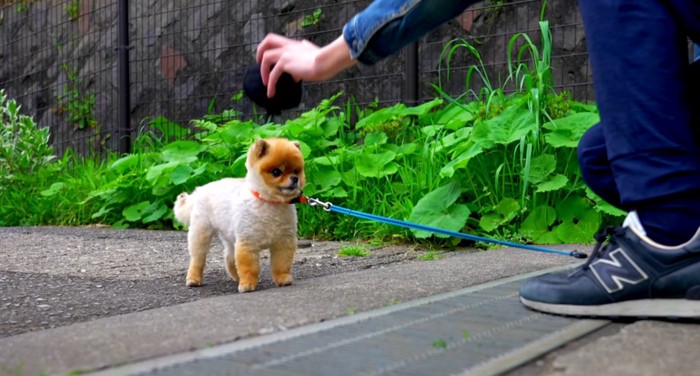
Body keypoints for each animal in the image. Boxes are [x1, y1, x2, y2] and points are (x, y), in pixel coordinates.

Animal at [174, 139, 304, 294]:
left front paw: (283, 279)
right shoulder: (247, 242)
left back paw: (236, 277)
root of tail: (199, 190)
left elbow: (281, 264)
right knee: (197, 259)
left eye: (296, 171)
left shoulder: (283, 241)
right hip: (201, 233)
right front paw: (248, 284)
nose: (295, 179)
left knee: (229, 259)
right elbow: (248, 267)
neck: (270, 203)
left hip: (229, 236)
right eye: (276, 172)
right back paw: (193, 279)